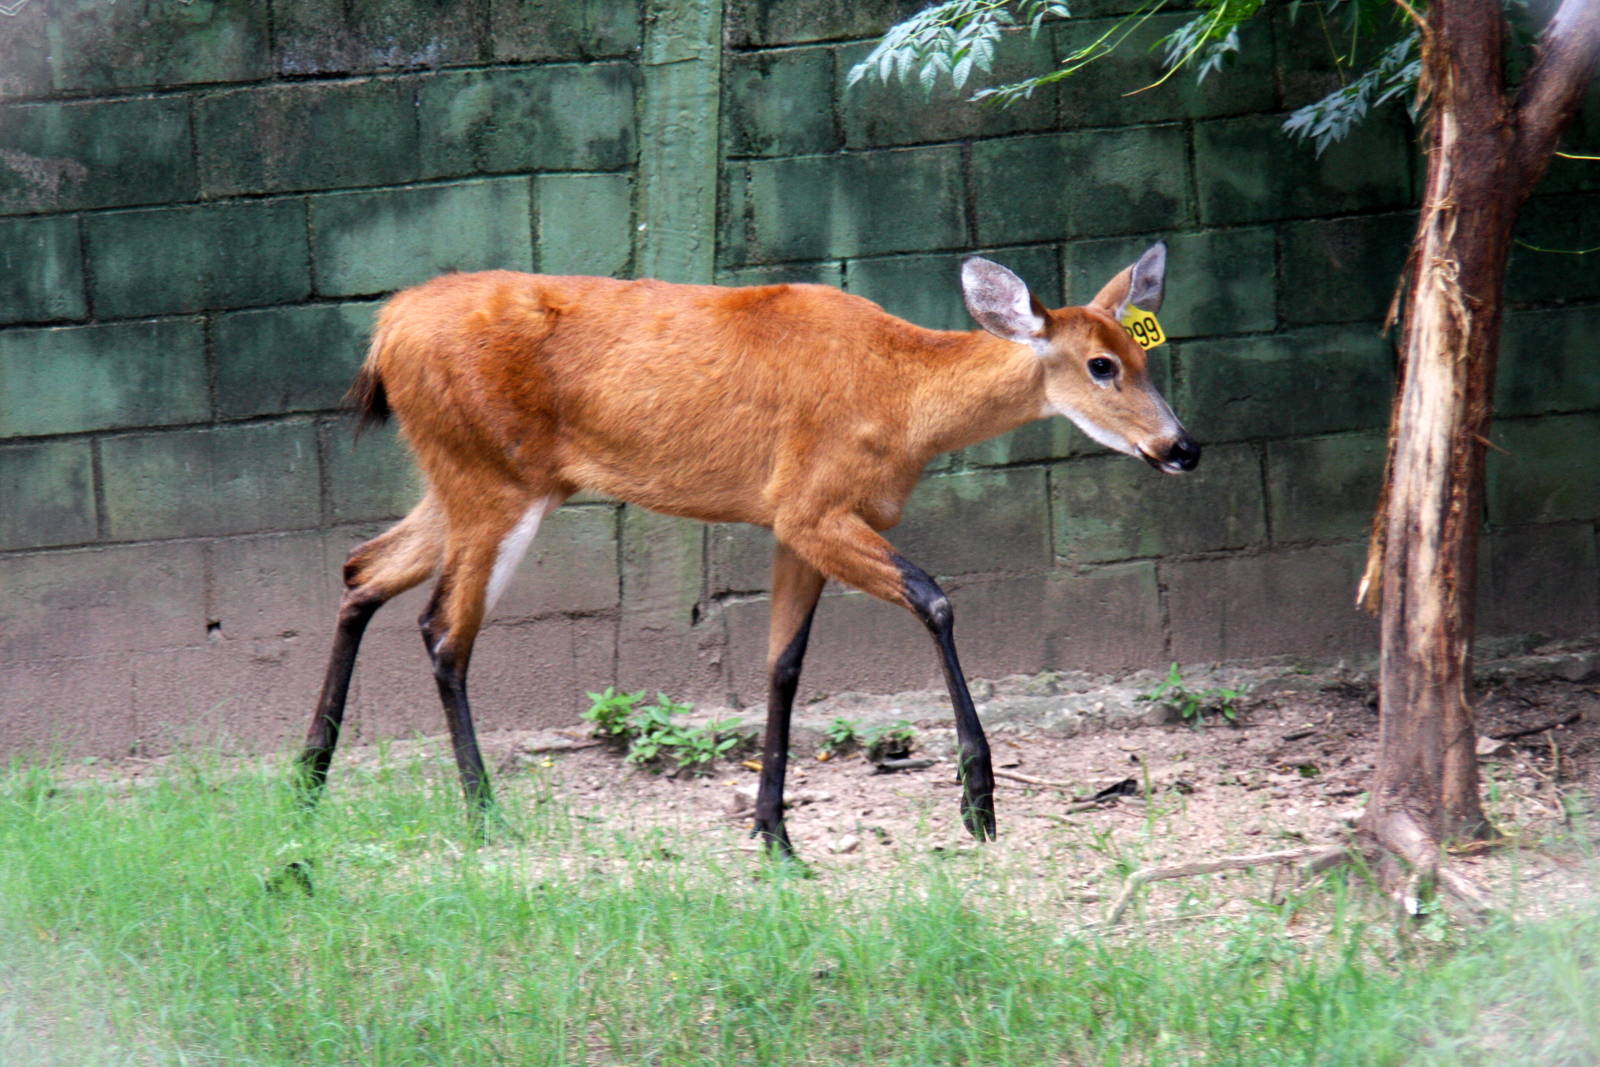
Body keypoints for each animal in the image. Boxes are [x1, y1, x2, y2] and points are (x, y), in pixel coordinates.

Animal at [296, 242, 1198, 857]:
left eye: (1146, 355)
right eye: (1102, 365)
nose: (1183, 447)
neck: (900, 396)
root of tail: (386, 329)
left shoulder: (790, 524)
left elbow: (783, 667)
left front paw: (773, 835)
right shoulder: (814, 508)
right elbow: (935, 596)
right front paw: (978, 802)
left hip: (462, 477)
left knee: (360, 569)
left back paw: (309, 781)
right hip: (492, 481)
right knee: (443, 630)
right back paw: (484, 811)